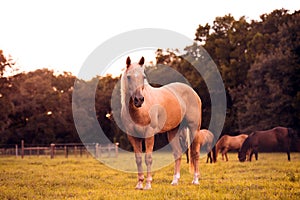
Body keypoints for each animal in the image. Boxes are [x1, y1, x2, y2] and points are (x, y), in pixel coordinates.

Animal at [120, 56, 203, 189]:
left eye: (143, 76)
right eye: (128, 77)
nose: (139, 100)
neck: (140, 110)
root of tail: (193, 92)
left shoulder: (149, 133)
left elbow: (148, 158)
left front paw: (148, 184)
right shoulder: (132, 136)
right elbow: (138, 159)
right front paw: (139, 184)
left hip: (194, 128)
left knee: (195, 153)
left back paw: (195, 180)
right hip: (173, 131)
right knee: (177, 153)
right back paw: (175, 181)